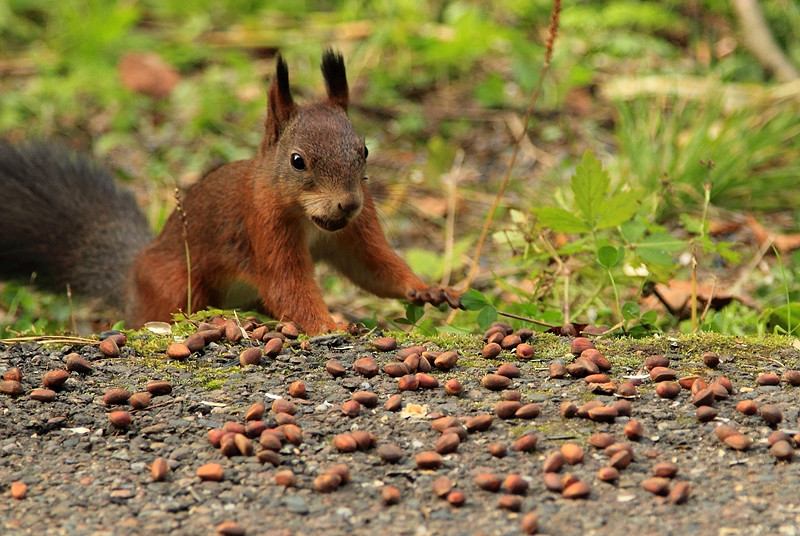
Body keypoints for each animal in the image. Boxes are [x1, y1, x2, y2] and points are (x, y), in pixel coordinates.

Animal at [0, 51, 460, 336]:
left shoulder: (357, 228)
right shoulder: (263, 227)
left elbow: (374, 266)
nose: (348, 203)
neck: (311, 220)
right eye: (297, 161)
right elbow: (288, 285)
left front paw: (426, 289)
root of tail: (130, 276)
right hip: (175, 285)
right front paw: (333, 325)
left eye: (364, 151)